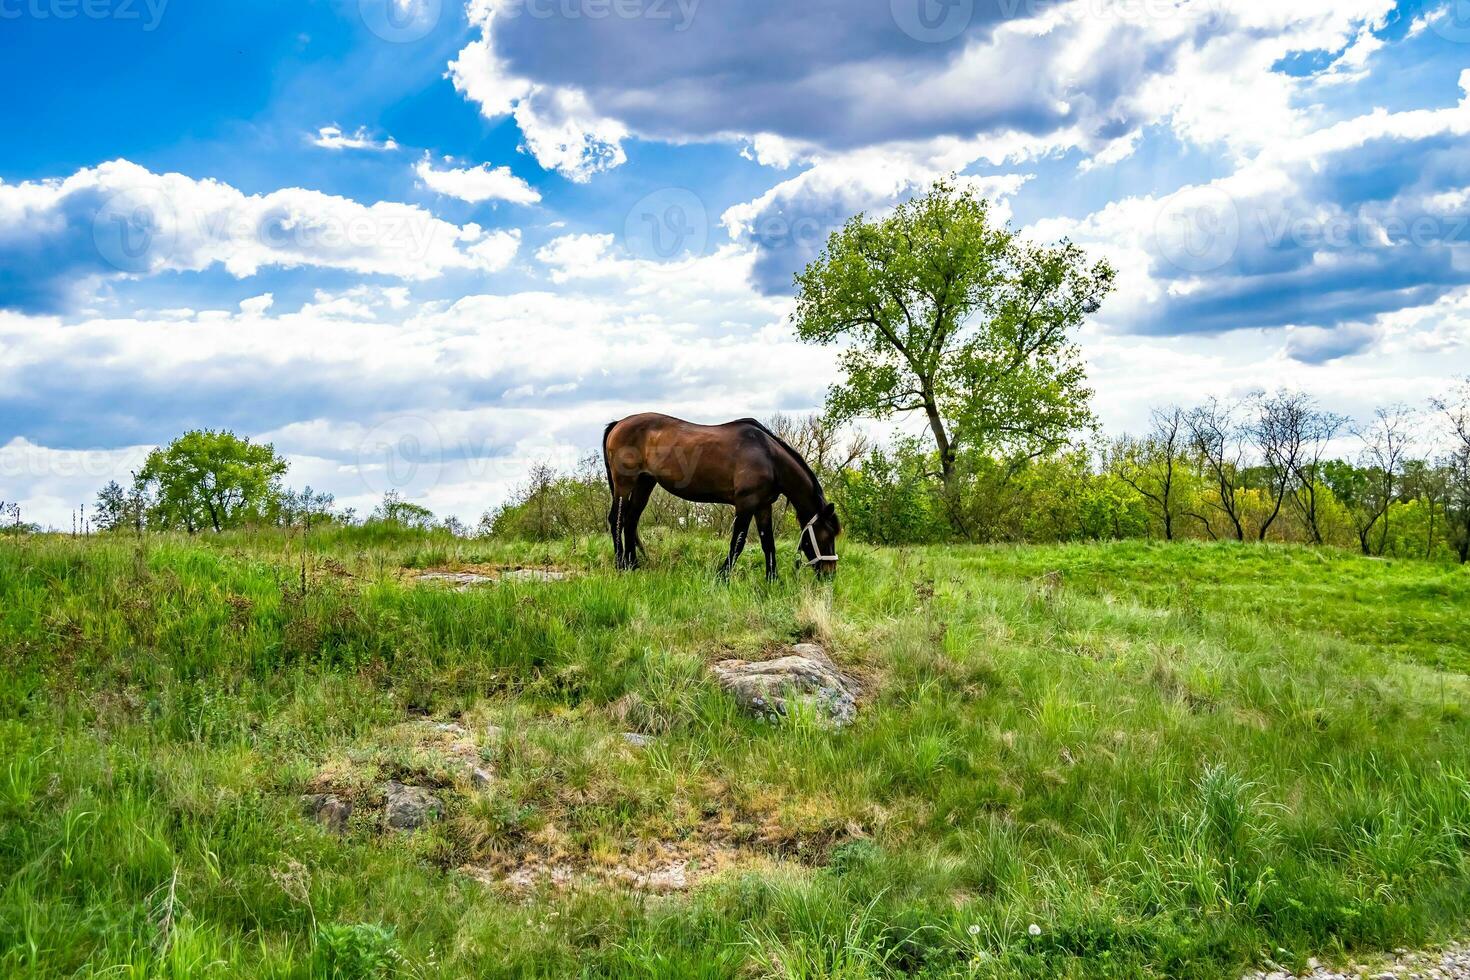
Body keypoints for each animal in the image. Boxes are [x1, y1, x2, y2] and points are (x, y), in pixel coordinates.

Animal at [602, 411, 846, 578]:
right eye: (826, 536)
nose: (830, 574)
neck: (768, 457)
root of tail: (618, 424)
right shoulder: (745, 504)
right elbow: (737, 544)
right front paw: (722, 577)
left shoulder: (762, 506)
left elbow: (768, 543)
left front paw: (772, 580)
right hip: (625, 483)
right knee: (617, 519)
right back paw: (621, 565)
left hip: (645, 482)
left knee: (631, 520)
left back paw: (633, 566)